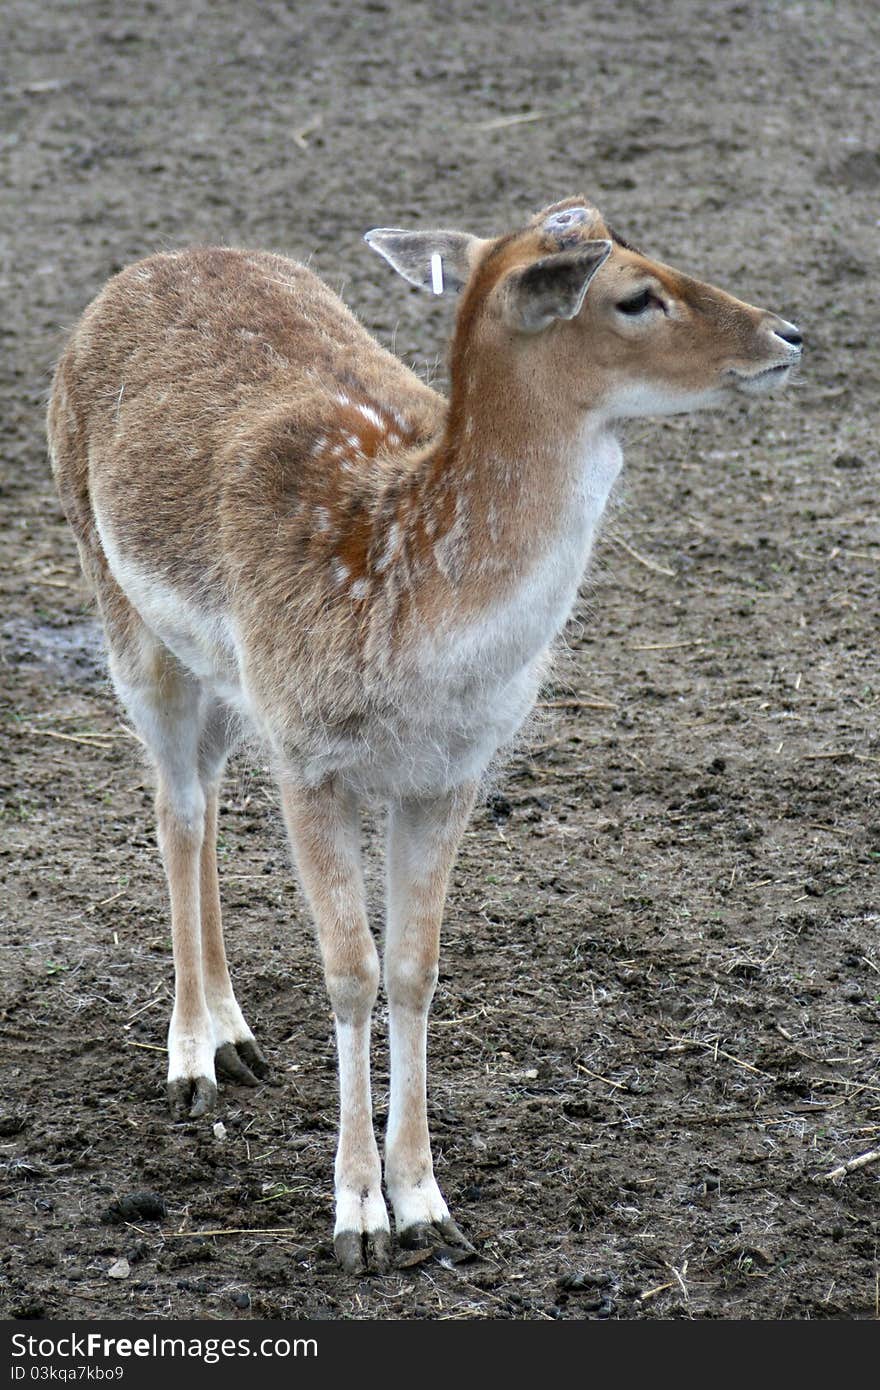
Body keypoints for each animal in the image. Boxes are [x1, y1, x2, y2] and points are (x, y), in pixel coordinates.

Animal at [49, 193, 800, 1273]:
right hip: (120, 606)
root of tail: (149, 263)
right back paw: (191, 1055)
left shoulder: (451, 772)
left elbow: (412, 968)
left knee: (210, 795)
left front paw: (426, 1203)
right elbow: (349, 971)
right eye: (634, 294)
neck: (404, 614)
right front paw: (357, 1216)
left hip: (232, 684)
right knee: (176, 805)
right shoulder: (311, 757)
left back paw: (237, 1034)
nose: (787, 334)